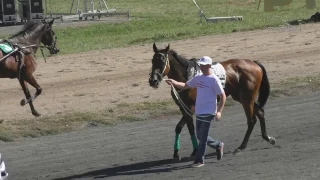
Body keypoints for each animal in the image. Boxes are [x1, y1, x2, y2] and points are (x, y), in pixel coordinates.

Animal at [148, 43, 276, 160]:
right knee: (260, 112)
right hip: (242, 97)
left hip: (247, 98)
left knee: (251, 120)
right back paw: (268, 138)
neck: (188, 77)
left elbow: (192, 128)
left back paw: (241, 146)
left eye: (162, 61)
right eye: (153, 60)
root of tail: (254, 63)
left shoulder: (191, 107)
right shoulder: (183, 107)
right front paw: (177, 153)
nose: (153, 81)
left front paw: (196, 150)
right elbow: (181, 127)